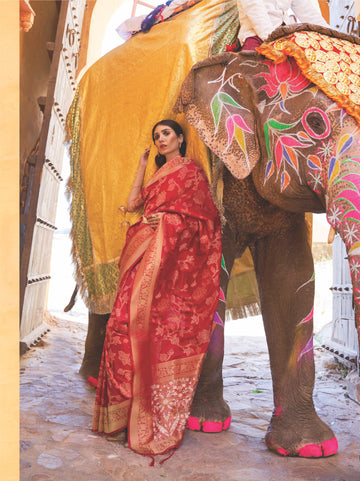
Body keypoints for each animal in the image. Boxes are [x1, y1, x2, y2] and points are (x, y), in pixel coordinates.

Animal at [172, 26, 360, 458]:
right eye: (316, 124)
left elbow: (290, 282)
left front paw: (311, 449)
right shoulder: (216, 172)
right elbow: (210, 271)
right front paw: (204, 423)